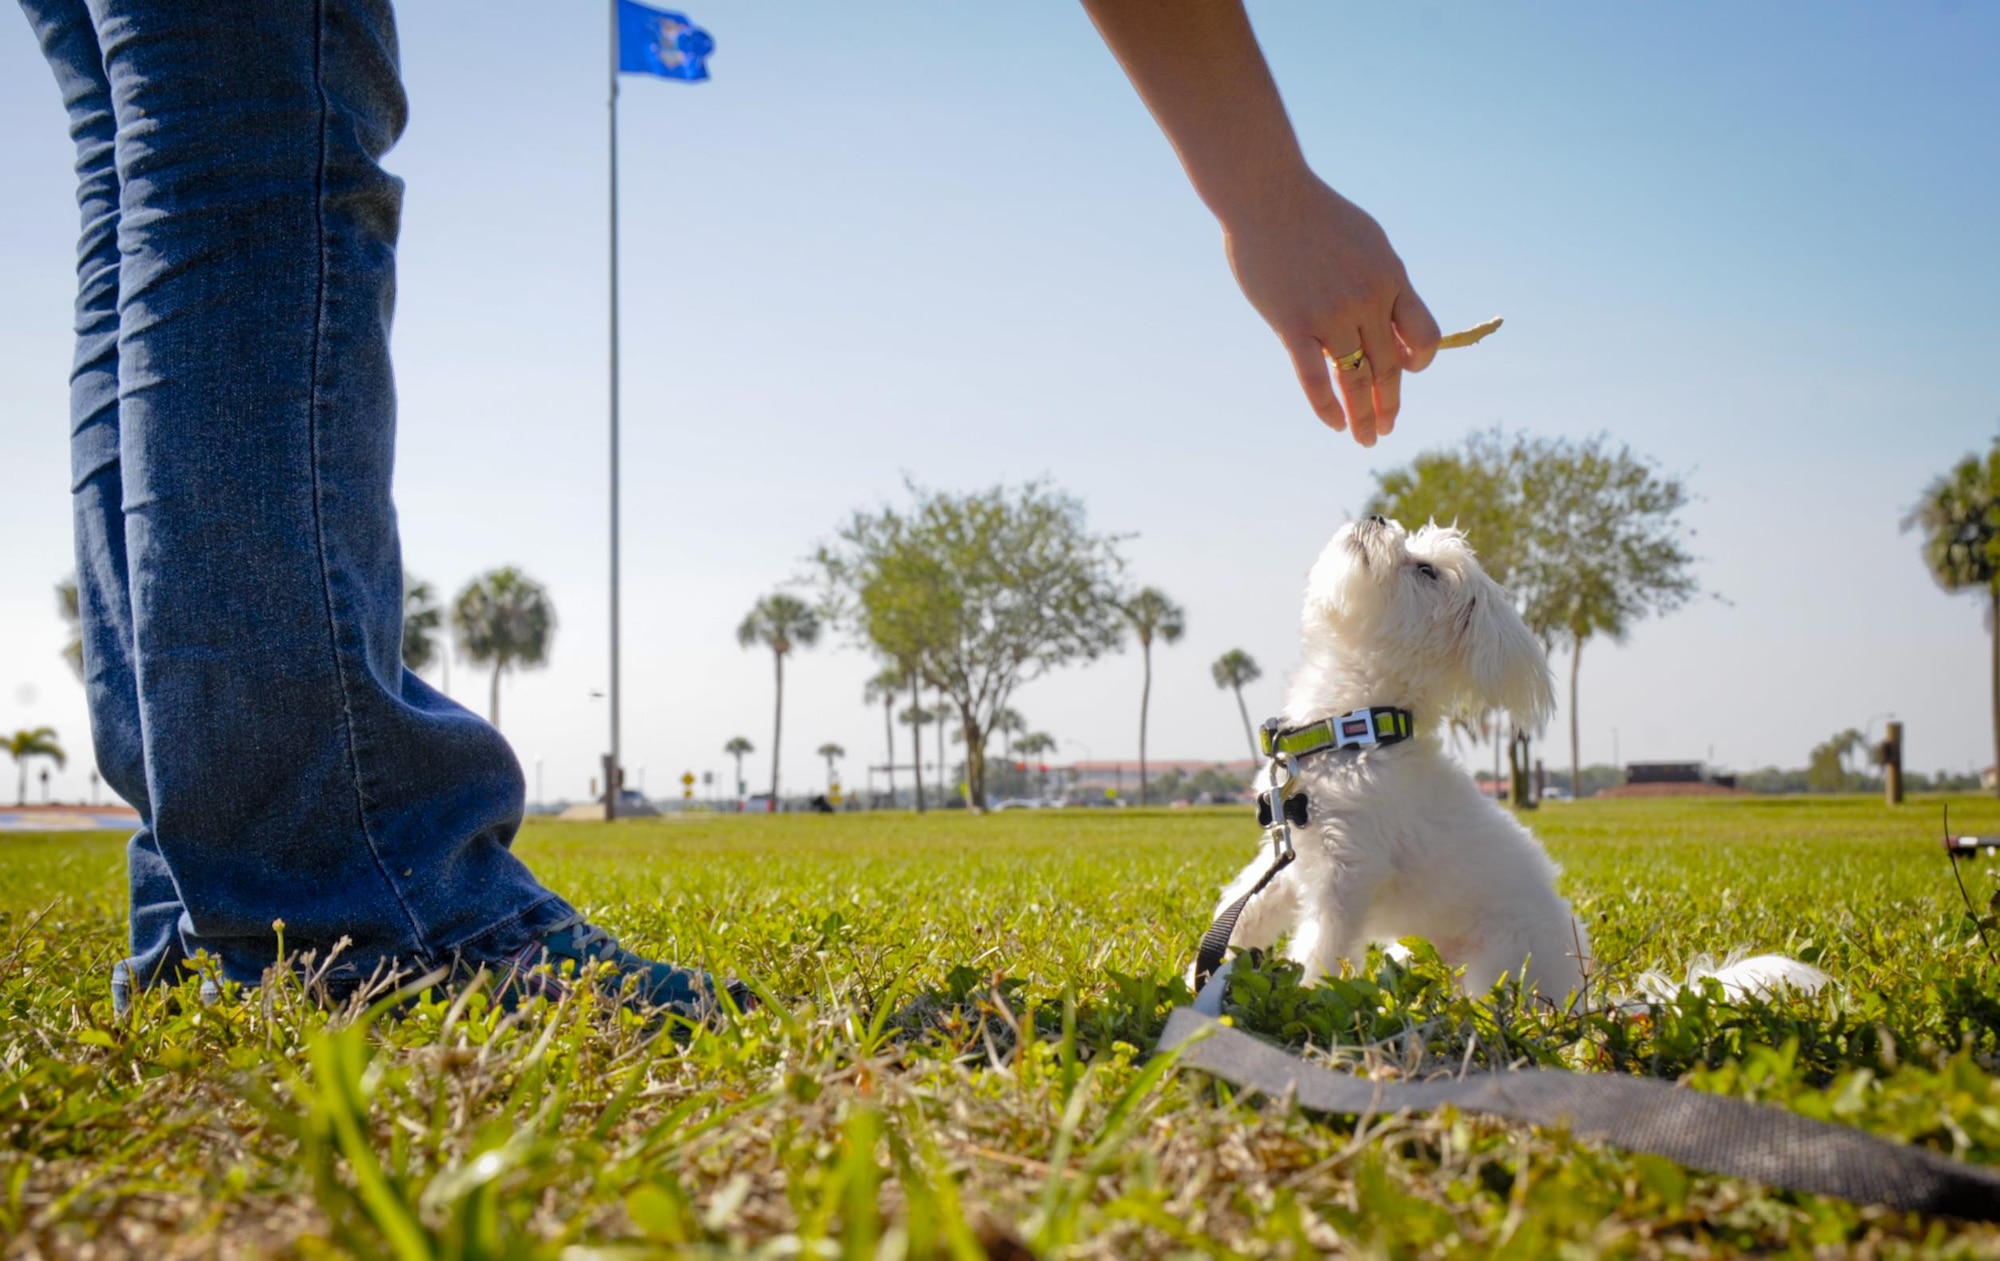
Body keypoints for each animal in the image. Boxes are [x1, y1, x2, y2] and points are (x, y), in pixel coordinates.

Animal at [1200, 520, 1832, 1016]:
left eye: (1425, 570)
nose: (1378, 516)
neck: (1352, 730)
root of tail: (1585, 998)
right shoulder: (1292, 854)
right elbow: (1247, 904)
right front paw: (1207, 968)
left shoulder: (1344, 876)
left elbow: (1318, 950)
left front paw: (1299, 1002)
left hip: (1497, 966)